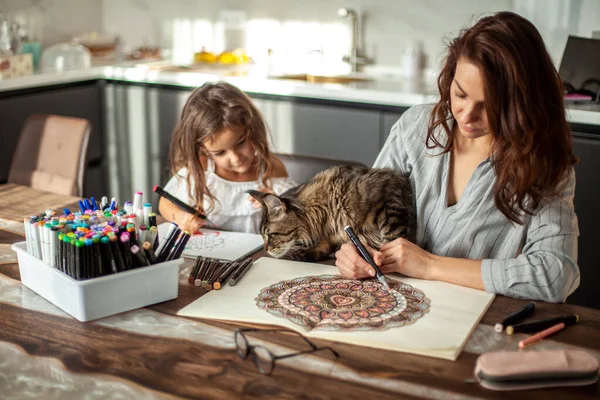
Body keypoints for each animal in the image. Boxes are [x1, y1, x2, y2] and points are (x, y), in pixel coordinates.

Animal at [248, 164, 418, 260]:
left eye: (270, 235)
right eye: (262, 236)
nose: (266, 249)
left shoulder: (389, 205)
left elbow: (392, 242)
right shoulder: (338, 232)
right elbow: (327, 242)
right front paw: (307, 253)